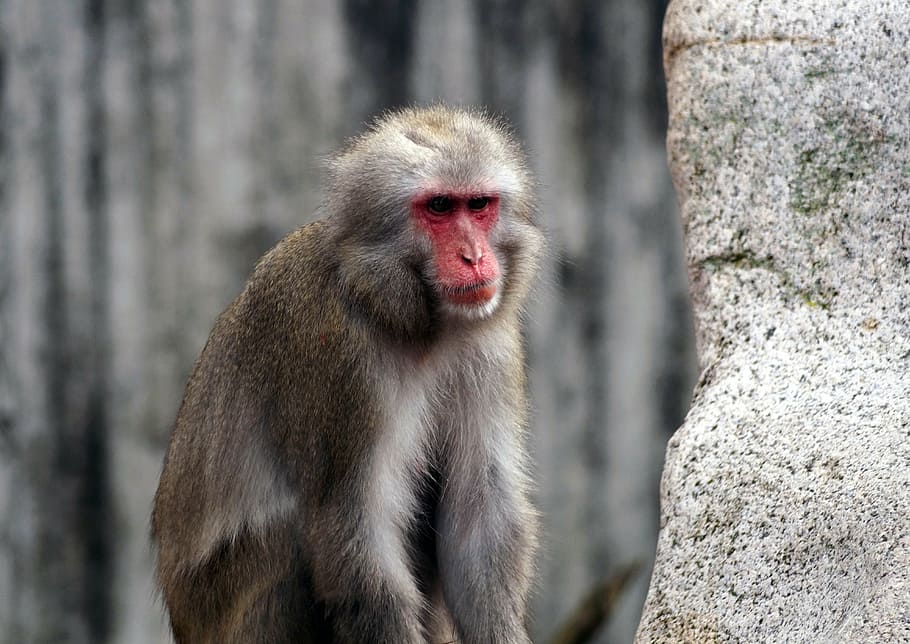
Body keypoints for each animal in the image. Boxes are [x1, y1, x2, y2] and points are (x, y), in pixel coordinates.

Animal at [151, 105, 544, 644]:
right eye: (440, 207)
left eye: (479, 205)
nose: (474, 257)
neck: (406, 314)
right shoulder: (340, 360)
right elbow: (353, 528)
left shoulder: (491, 348)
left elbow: (478, 517)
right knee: (291, 540)